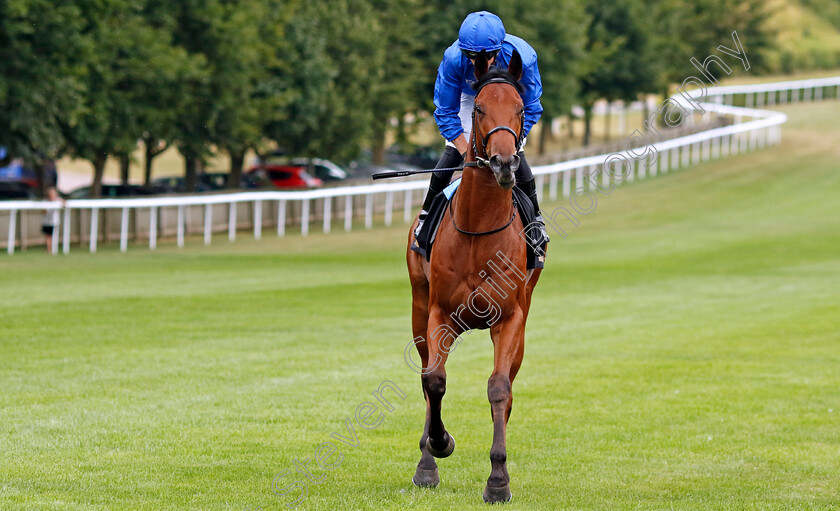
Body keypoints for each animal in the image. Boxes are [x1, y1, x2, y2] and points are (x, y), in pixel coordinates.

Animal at [408, 52, 544, 504]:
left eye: (519, 109)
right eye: (481, 108)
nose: (504, 162)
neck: (478, 231)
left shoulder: (510, 318)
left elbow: (498, 387)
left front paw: (498, 478)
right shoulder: (439, 315)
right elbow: (434, 381)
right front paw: (437, 447)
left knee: (510, 385)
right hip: (417, 308)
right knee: (424, 376)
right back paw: (426, 457)